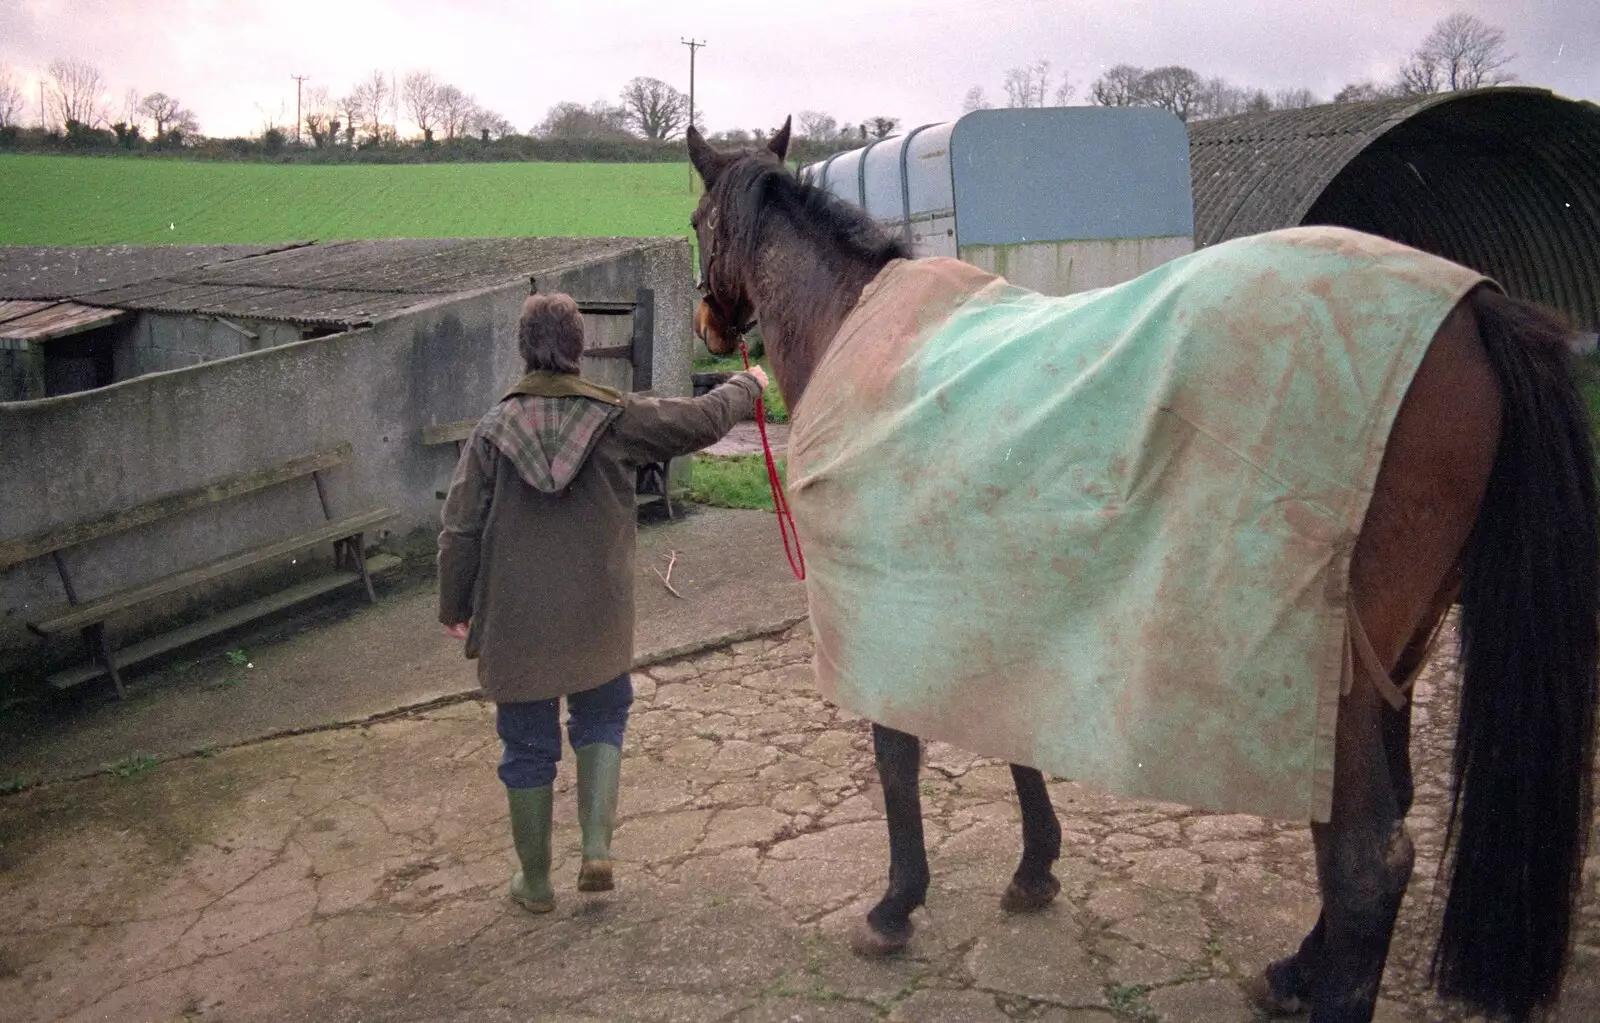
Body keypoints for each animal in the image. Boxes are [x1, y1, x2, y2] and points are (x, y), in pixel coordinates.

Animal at [681, 120, 1593, 1023]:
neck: (865, 333)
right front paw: (1034, 868)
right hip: (1396, 665)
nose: (708, 327)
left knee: (1368, 863)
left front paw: (894, 906)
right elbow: (1014, 735)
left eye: (695, 220)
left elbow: (895, 754)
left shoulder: (879, 611)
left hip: (1334, 685)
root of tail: (1474, 306)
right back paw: (1293, 970)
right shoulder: (991, 598)